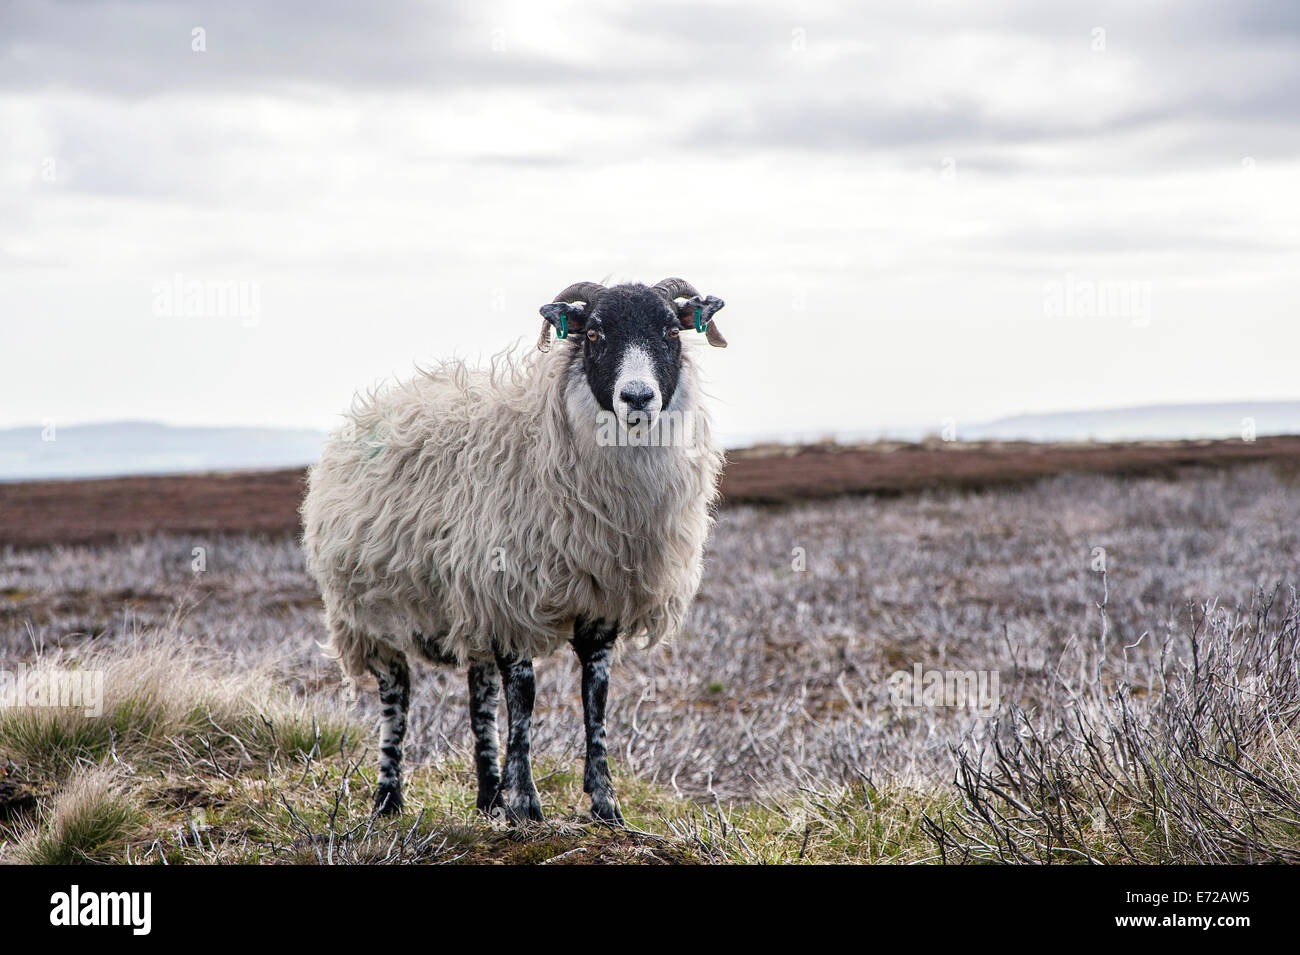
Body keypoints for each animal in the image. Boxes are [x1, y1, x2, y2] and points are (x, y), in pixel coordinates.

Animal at [302, 276, 733, 821]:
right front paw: (526, 802)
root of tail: (374, 406)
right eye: (594, 334)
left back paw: (488, 797)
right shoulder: (510, 600)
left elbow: (596, 697)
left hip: (468, 607)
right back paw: (388, 798)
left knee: (480, 698)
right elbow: (524, 699)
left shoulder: (600, 603)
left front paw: (604, 802)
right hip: (368, 616)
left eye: (670, 331)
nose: (637, 397)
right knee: (396, 698)